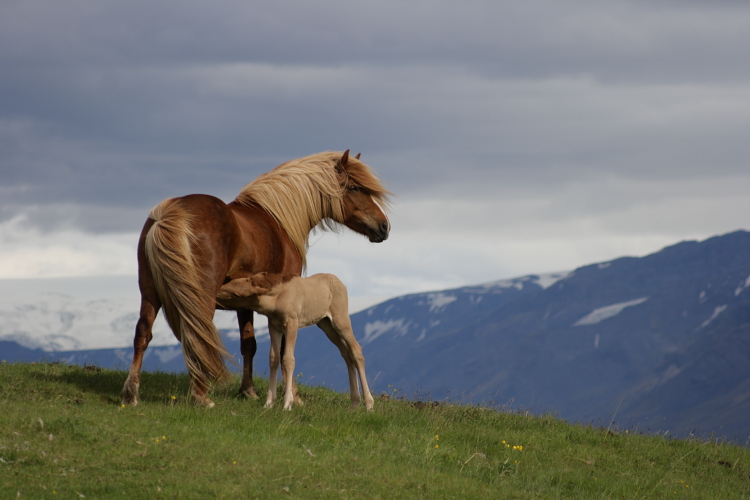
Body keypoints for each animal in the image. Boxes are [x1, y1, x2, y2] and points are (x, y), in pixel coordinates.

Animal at [217, 274, 376, 410]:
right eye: (230, 282)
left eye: (236, 294)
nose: (217, 293)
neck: (277, 299)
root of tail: (341, 283)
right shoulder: (274, 326)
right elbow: (274, 359)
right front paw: (268, 403)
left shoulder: (292, 323)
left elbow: (288, 359)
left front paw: (287, 403)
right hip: (326, 325)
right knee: (346, 353)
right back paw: (355, 403)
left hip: (340, 320)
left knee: (356, 350)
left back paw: (369, 404)